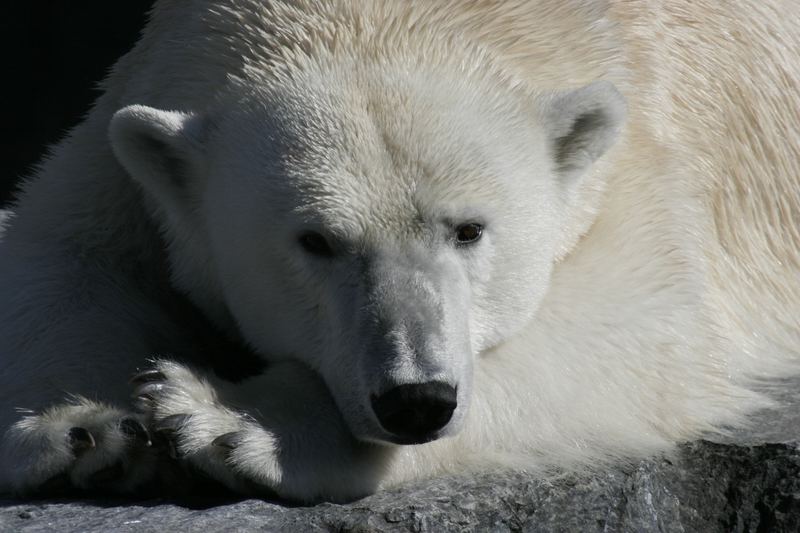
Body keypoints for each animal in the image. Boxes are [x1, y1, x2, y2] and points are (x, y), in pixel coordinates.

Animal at [1, 0, 800, 502]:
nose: (416, 400)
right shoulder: (135, 113)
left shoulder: (641, 152)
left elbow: (646, 322)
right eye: (317, 241)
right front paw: (83, 431)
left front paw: (235, 420)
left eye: (469, 229)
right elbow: (63, 253)